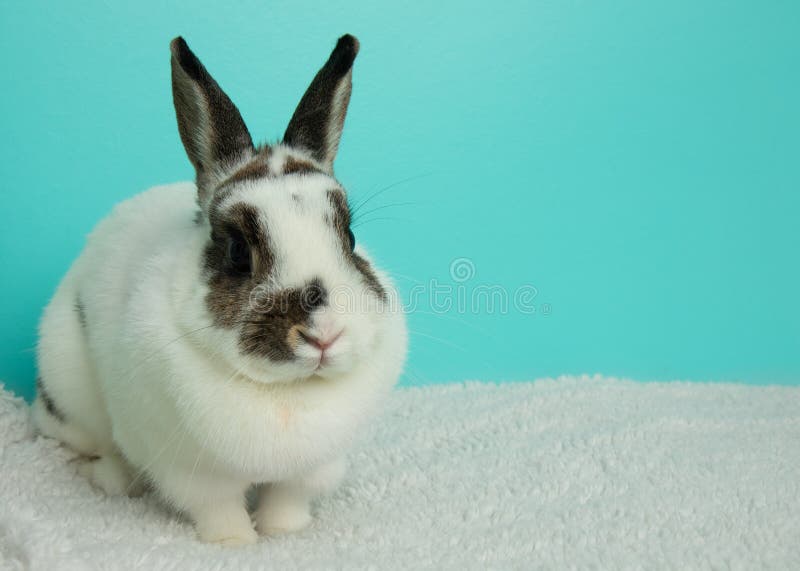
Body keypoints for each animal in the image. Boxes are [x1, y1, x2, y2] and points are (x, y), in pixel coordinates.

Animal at [32, 34, 407, 546]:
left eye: (348, 238)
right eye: (236, 252)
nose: (324, 335)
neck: (286, 393)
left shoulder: (313, 468)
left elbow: (287, 502)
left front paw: (284, 536)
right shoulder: (193, 474)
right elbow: (219, 511)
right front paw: (236, 544)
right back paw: (112, 479)